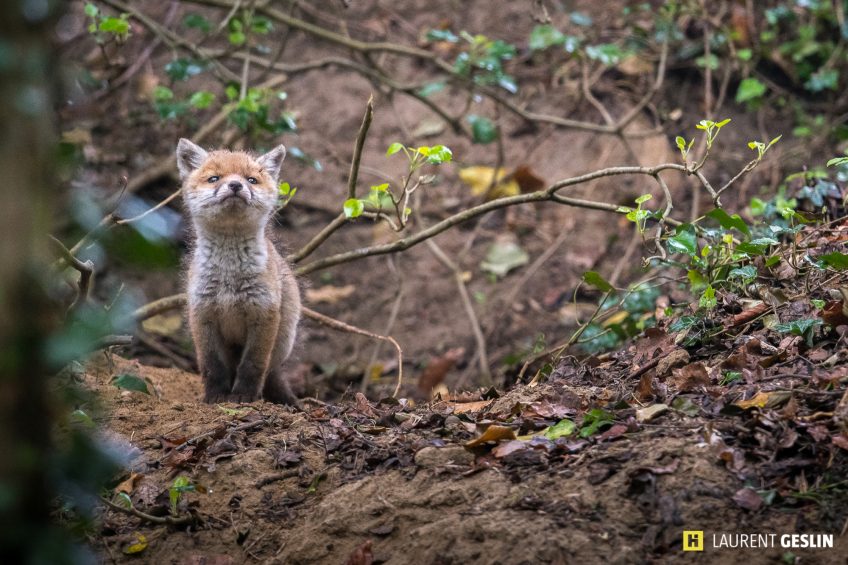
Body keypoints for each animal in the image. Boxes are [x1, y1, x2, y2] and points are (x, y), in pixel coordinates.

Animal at [176, 138, 301, 404]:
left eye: (251, 180)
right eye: (214, 178)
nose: (235, 185)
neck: (228, 277)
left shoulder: (264, 314)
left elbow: (252, 365)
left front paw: (244, 396)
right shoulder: (202, 314)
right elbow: (212, 367)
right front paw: (215, 396)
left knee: (269, 372)